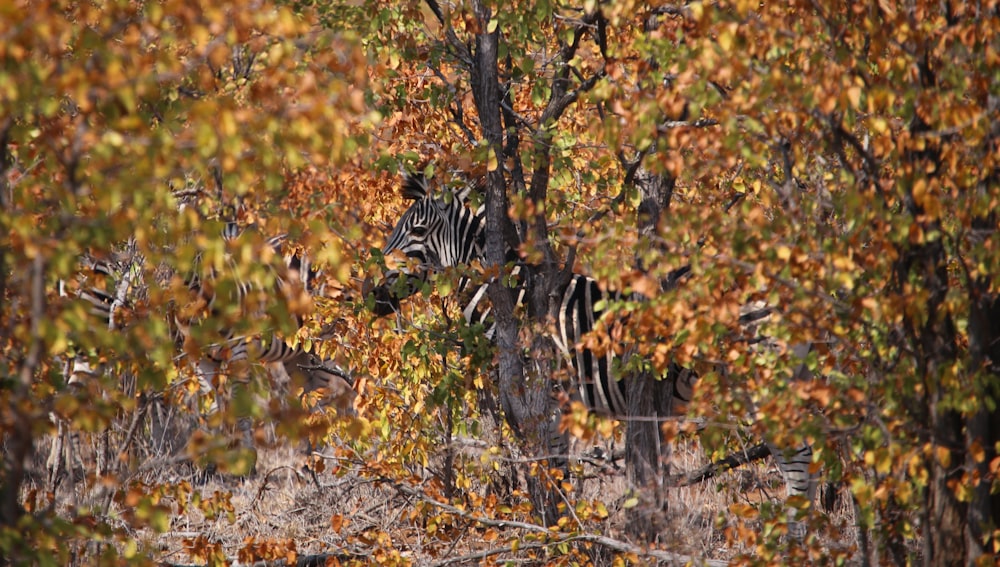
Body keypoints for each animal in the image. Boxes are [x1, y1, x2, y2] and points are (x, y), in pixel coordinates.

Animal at [368, 172, 820, 536]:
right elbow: (559, 471)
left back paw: (796, 540)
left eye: (418, 229)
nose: (368, 293)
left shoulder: (549, 397)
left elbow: (555, 471)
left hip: (761, 381)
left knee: (798, 460)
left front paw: (560, 534)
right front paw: (567, 530)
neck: (516, 299)